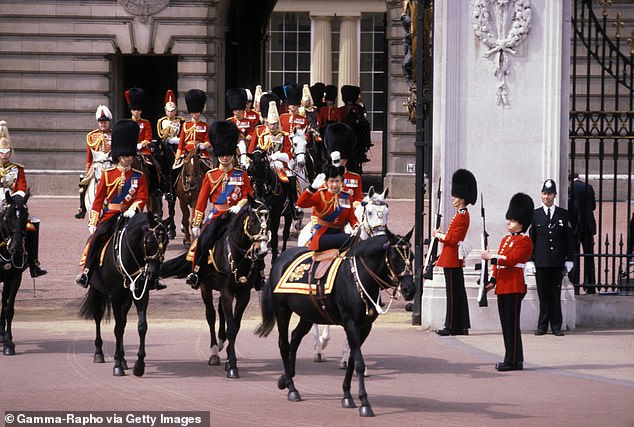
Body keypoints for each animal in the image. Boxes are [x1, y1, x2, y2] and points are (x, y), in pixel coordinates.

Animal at [78, 212, 168, 376]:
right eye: (149, 241)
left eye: (166, 242)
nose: (152, 274)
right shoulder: (115, 296)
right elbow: (118, 328)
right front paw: (117, 364)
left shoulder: (141, 294)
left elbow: (141, 326)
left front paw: (139, 365)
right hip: (97, 289)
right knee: (98, 316)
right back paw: (99, 353)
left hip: (126, 299)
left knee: (123, 321)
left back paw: (125, 359)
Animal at [160, 196, 270, 380]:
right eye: (253, 220)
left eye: (267, 221)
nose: (261, 251)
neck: (237, 255)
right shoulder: (226, 292)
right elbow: (230, 327)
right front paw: (232, 366)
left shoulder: (243, 294)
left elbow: (235, 326)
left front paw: (229, 358)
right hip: (205, 286)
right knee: (211, 315)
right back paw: (214, 352)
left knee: (220, 312)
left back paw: (220, 342)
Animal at [254, 229, 418, 416]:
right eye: (394, 256)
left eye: (412, 256)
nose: (410, 290)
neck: (359, 278)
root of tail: (280, 259)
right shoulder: (351, 324)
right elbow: (359, 363)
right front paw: (364, 402)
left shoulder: (365, 327)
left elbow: (353, 361)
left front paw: (347, 395)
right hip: (282, 311)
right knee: (284, 344)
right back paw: (292, 388)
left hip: (308, 314)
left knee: (295, 338)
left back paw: (286, 378)